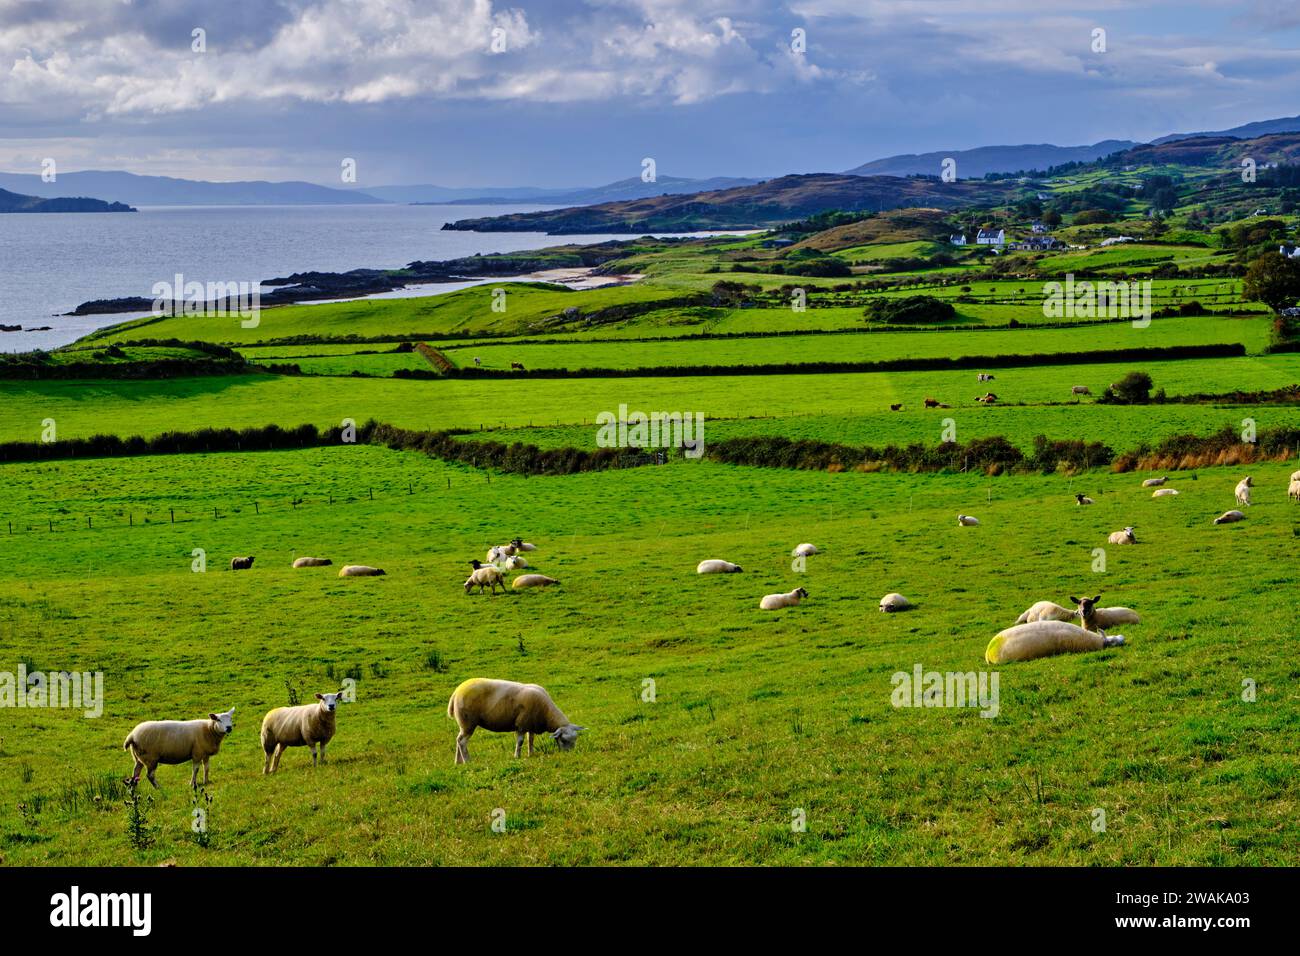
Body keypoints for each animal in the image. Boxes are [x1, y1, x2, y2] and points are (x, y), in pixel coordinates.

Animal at [449, 676, 587, 764]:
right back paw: (467, 761)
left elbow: (531, 740)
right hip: (468, 722)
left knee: (458, 740)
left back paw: (458, 762)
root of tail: (456, 692)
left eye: (575, 739)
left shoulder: (531, 723)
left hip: (463, 724)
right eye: (563, 740)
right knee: (462, 741)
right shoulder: (521, 724)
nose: (570, 754)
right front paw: (517, 756)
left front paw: (531, 753)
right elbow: (520, 741)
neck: (546, 713)